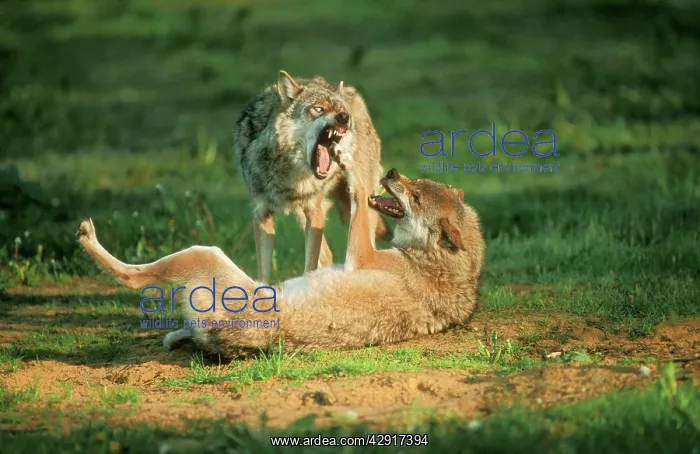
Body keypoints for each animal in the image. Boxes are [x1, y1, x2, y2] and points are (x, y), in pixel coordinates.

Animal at [77, 153, 486, 356]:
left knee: (133, 277)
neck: (428, 260)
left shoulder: (361, 256)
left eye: (415, 196)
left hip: (205, 253)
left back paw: (89, 238)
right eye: (417, 183)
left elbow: (356, 199)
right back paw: (178, 337)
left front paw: (352, 165)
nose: (393, 172)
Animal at [233, 70, 389, 283]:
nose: (345, 117)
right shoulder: (262, 214)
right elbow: (263, 274)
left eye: (341, 110)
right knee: (329, 255)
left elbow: (310, 266)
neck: (288, 173)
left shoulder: (314, 211)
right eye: (318, 109)